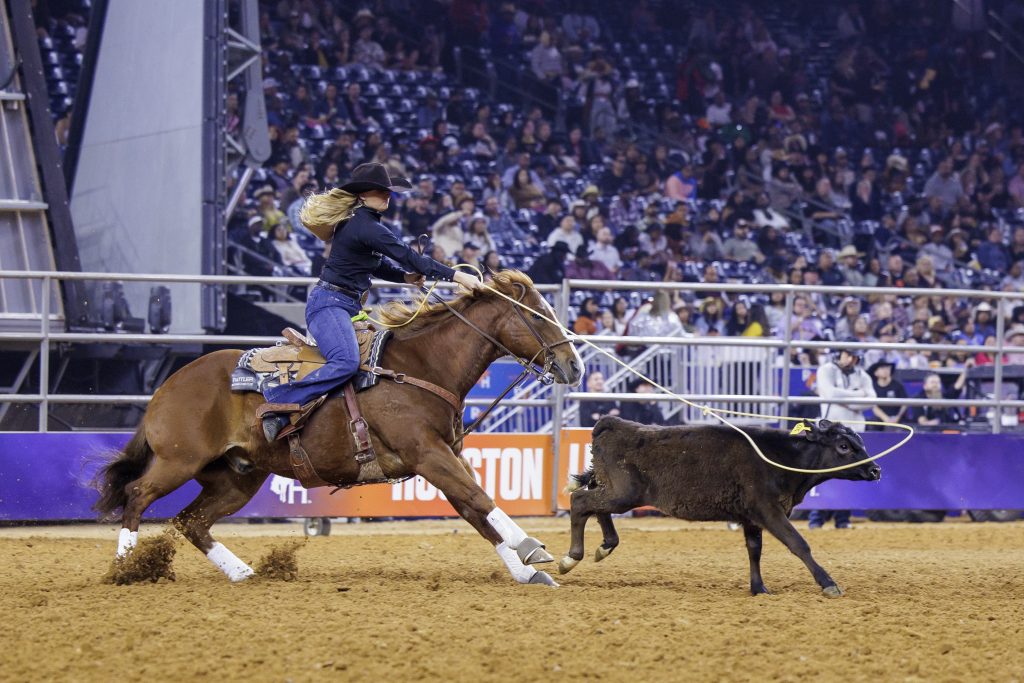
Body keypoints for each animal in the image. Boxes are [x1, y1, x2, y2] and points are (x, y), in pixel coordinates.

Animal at [96, 272, 585, 589]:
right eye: (537, 316)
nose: (574, 365)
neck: (420, 367)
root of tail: (168, 385)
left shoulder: (446, 455)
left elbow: (475, 510)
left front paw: (526, 570)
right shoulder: (428, 453)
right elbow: (480, 500)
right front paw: (532, 548)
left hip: (236, 477)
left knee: (191, 521)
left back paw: (242, 572)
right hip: (179, 460)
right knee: (137, 495)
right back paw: (123, 568)